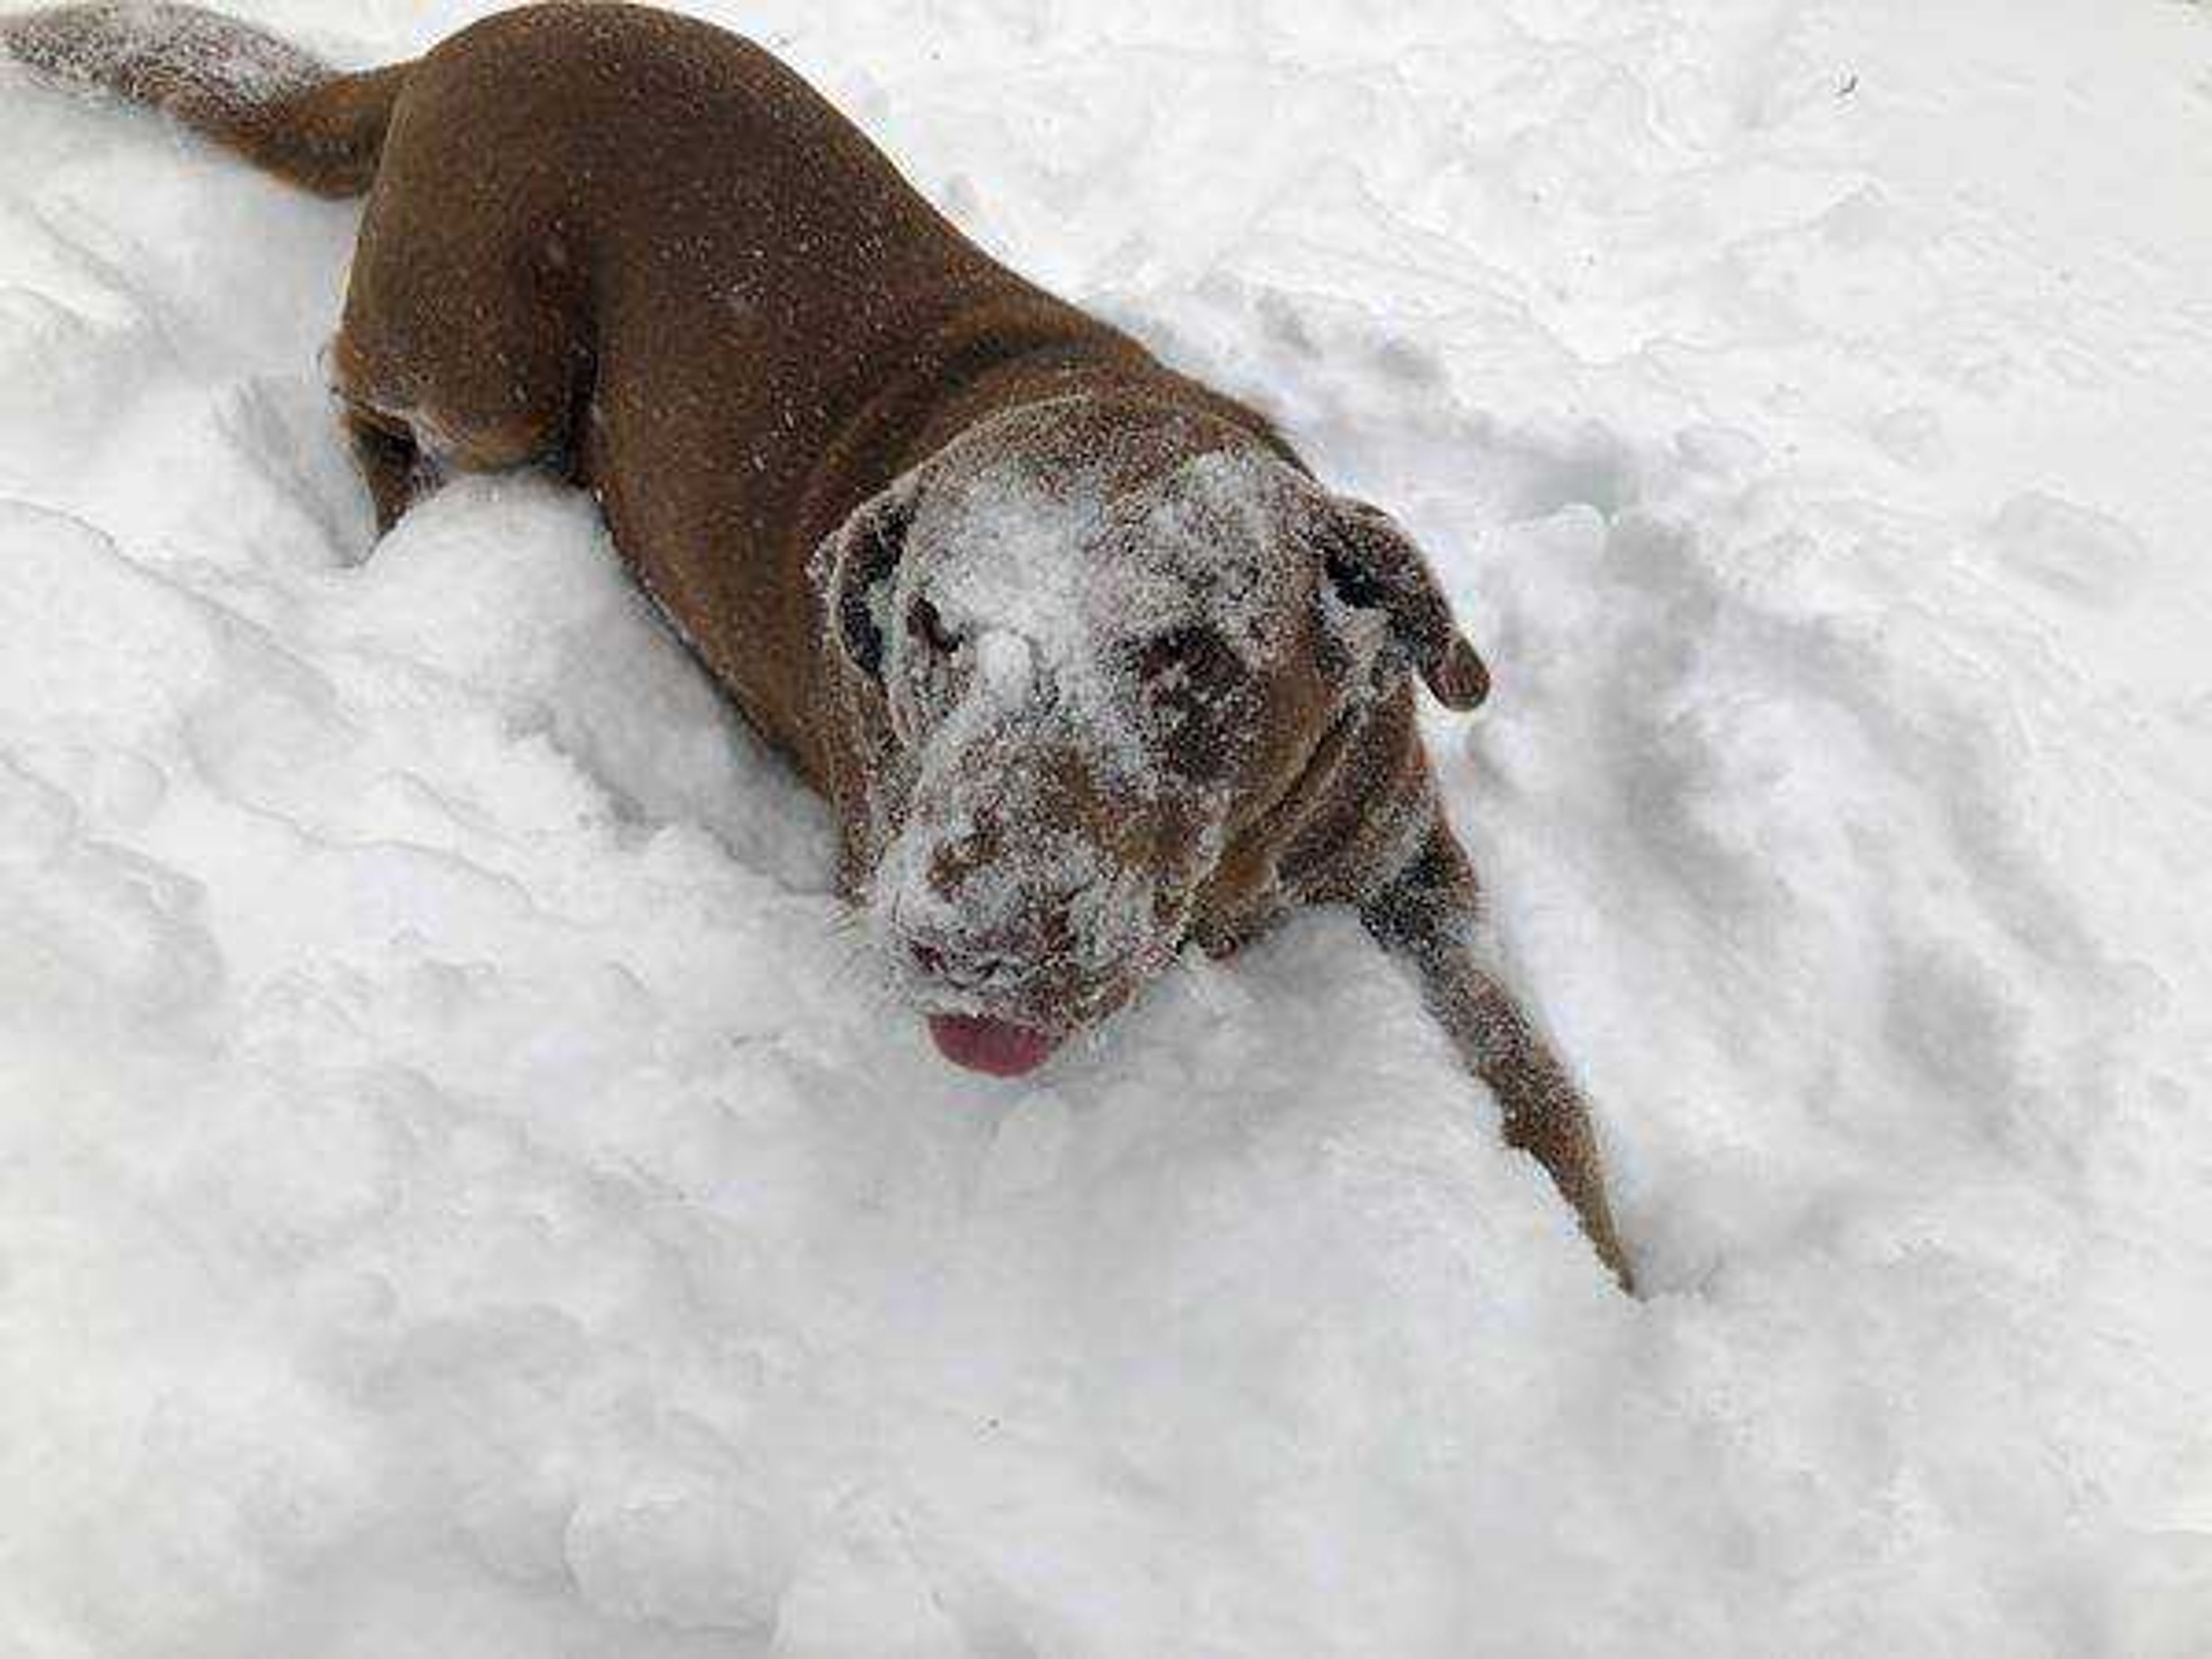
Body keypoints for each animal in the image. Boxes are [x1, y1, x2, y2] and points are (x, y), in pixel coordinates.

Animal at [9, 0, 1637, 1283]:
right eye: (934, 629)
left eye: (1190, 653)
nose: (964, 942)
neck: (1236, 873)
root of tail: (448, 53)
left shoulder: (1413, 860)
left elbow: (1534, 1077)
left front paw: (1605, 1273)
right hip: (487, 359)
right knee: (348, 385)